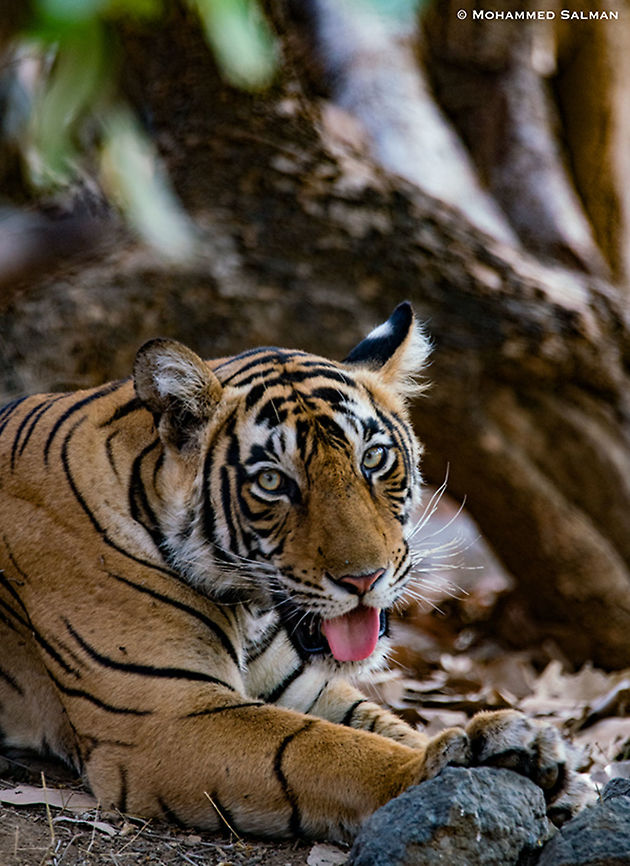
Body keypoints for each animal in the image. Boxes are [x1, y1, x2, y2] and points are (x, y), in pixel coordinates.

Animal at [0, 302, 590, 842]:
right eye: (272, 482)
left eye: (373, 459)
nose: (364, 580)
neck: (249, 611)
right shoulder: (165, 712)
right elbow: (326, 751)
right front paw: (447, 762)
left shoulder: (302, 684)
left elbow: (384, 726)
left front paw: (538, 762)